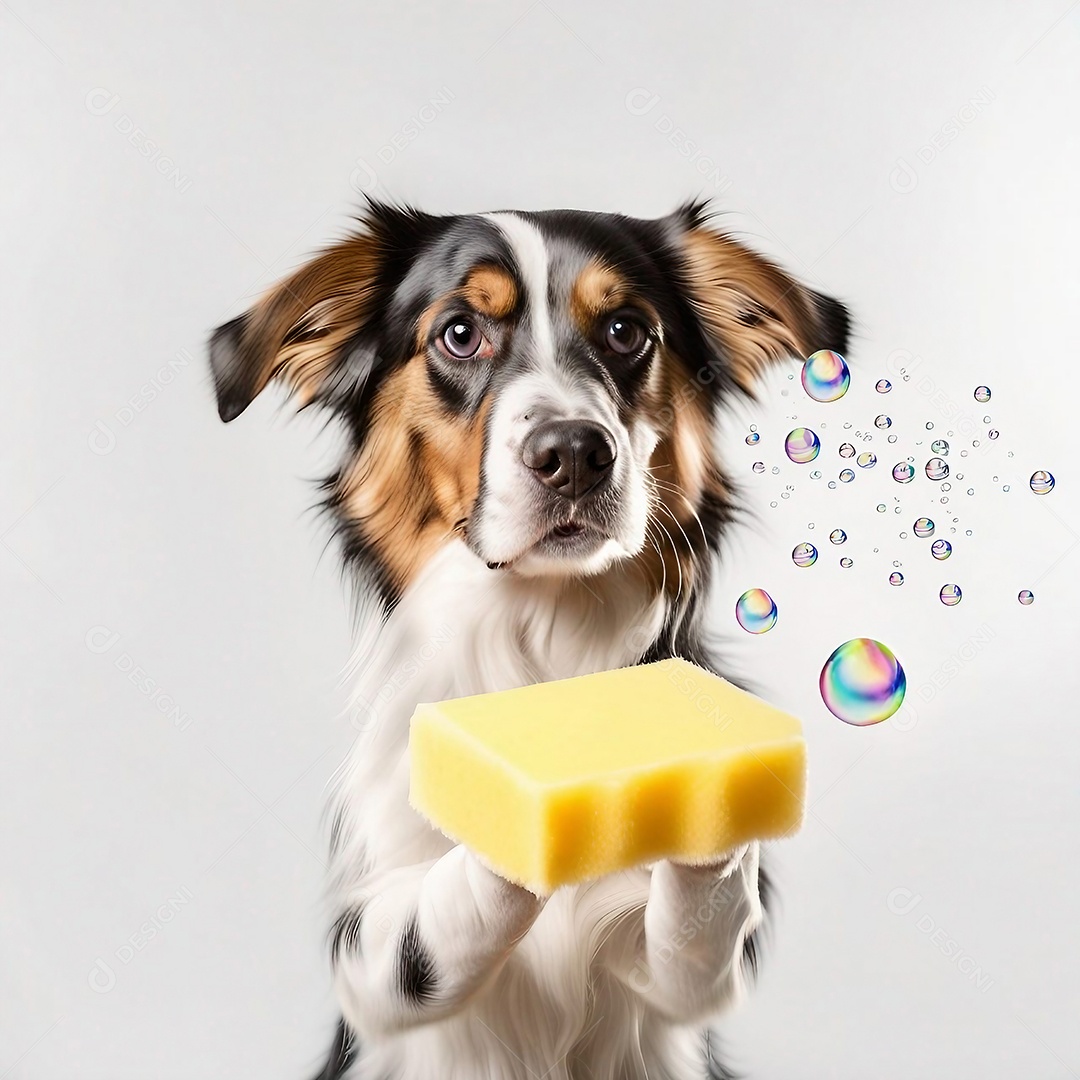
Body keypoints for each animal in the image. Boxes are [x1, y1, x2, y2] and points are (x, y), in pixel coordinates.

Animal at [210, 198, 846, 1075]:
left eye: (626, 331)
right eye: (460, 332)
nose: (576, 453)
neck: (538, 634)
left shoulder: (678, 991)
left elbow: (696, 929)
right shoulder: (367, 952)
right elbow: (428, 929)